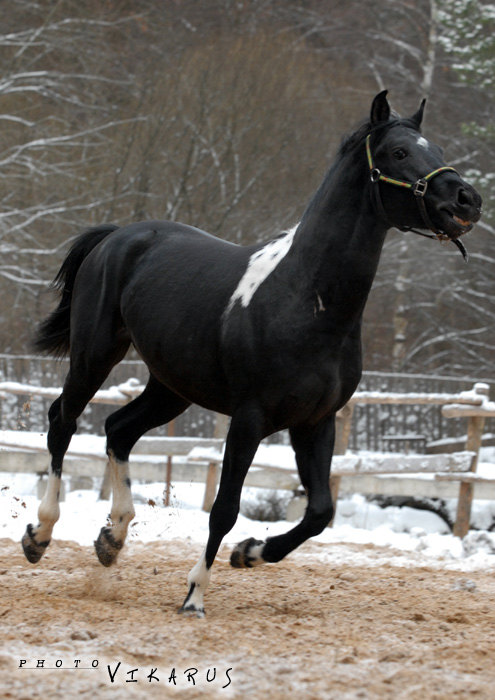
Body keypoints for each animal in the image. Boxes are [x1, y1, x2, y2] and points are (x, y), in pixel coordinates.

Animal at [22, 93, 480, 616]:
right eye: (400, 153)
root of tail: (118, 236)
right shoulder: (249, 419)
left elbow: (320, 511)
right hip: (95, 355)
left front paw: (251, 552)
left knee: (118, 429)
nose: (467, 200)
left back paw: (111, 539)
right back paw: (39, 535)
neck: (306, 301)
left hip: (171, 386)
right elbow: (224, 509)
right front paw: (195, 596)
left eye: (436, 147)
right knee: (63, 421)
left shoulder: (315, 422)